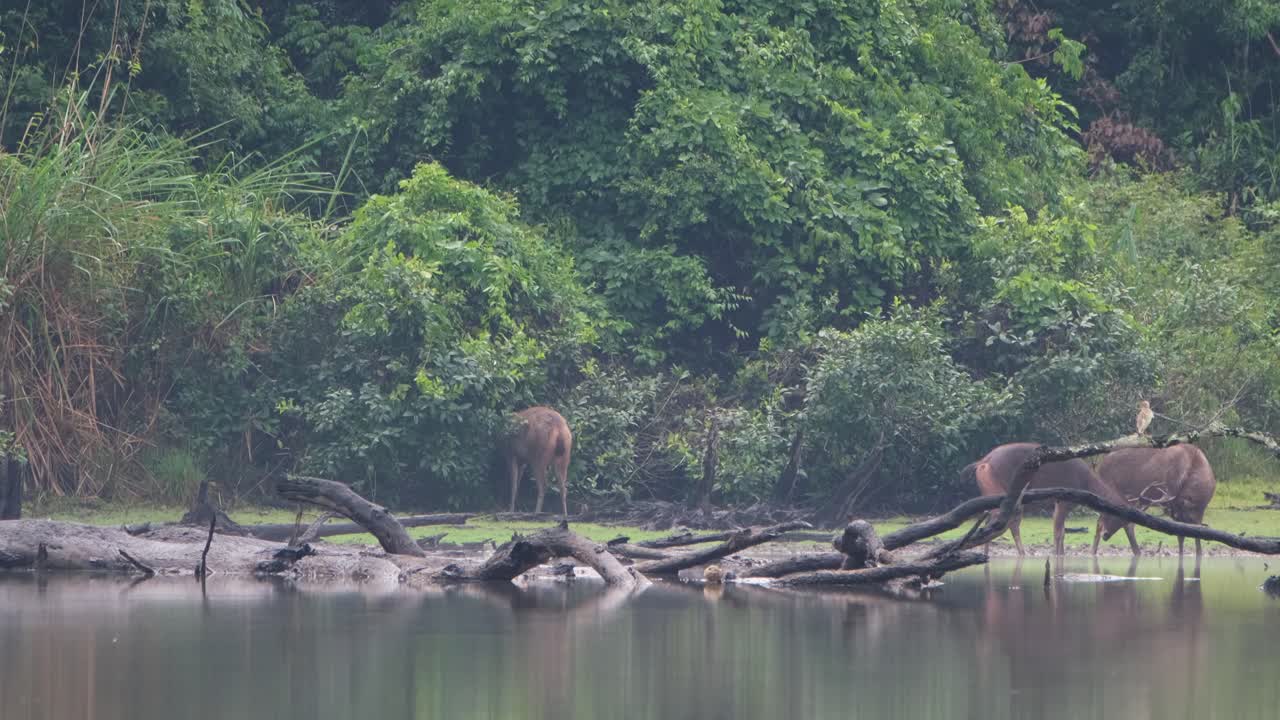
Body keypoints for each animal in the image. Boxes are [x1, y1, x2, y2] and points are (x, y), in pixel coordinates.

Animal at [967, 442, 1132, 555]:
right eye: (1116, 516)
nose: (1106, 535)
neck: (1086, 483)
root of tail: (982, 462)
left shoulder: (1058, 503)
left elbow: (1061, 531)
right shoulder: (1063, 500)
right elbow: (1059, 532)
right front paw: (1056, 555)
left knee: (990, 521)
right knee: (1005, 522)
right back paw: (1022, 553)